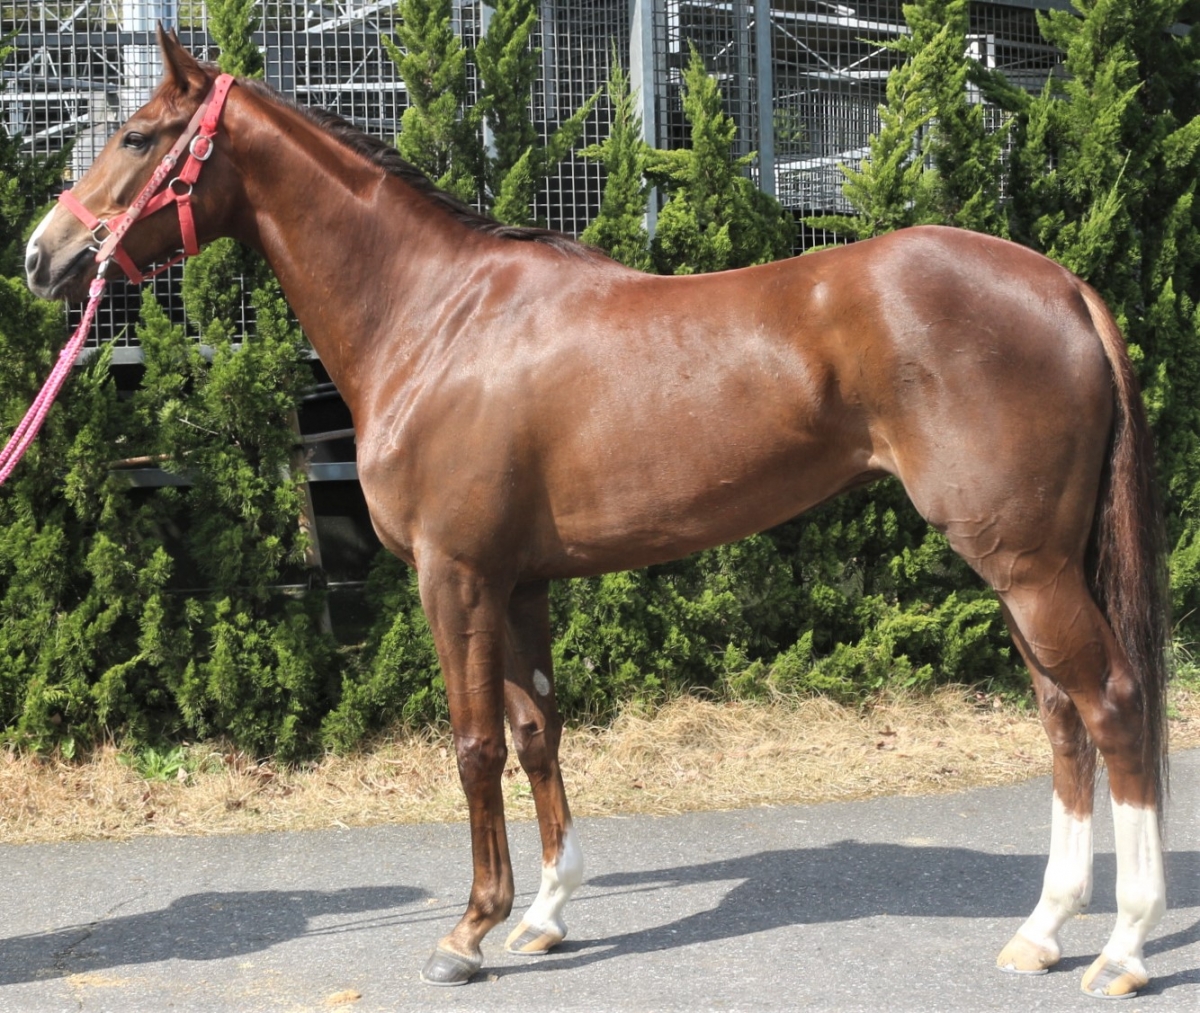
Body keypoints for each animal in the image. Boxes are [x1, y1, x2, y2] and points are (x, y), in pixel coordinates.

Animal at [24, 30, 1169, 998]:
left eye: (136, 137)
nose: (41, 255)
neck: (436, 318)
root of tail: (1065, 286)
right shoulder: (519, 581)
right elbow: (538, 733)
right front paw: (545, 913)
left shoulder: (456, 575)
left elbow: (473, 743)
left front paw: (468, 931)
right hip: (1027, 565)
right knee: (1062, 717)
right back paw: (1043, 930)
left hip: (1027, 563)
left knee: (1111, 705)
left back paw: (1121, 946)